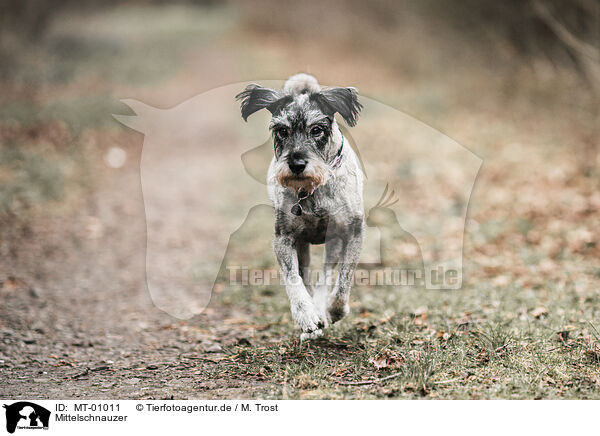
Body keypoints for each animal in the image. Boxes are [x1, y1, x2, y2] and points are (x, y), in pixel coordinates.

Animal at [237, 74, 364, 340]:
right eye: (281, 130)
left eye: (316, 130)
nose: (296, 164)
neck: (312, 191)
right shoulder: (284, 238)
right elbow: (293, 278)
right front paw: (306, 317)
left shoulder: (352, 233)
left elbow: (343, 280)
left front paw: (334, 311)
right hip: (303, 245)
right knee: (306, 276)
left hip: (333, 243)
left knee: (326, 274)